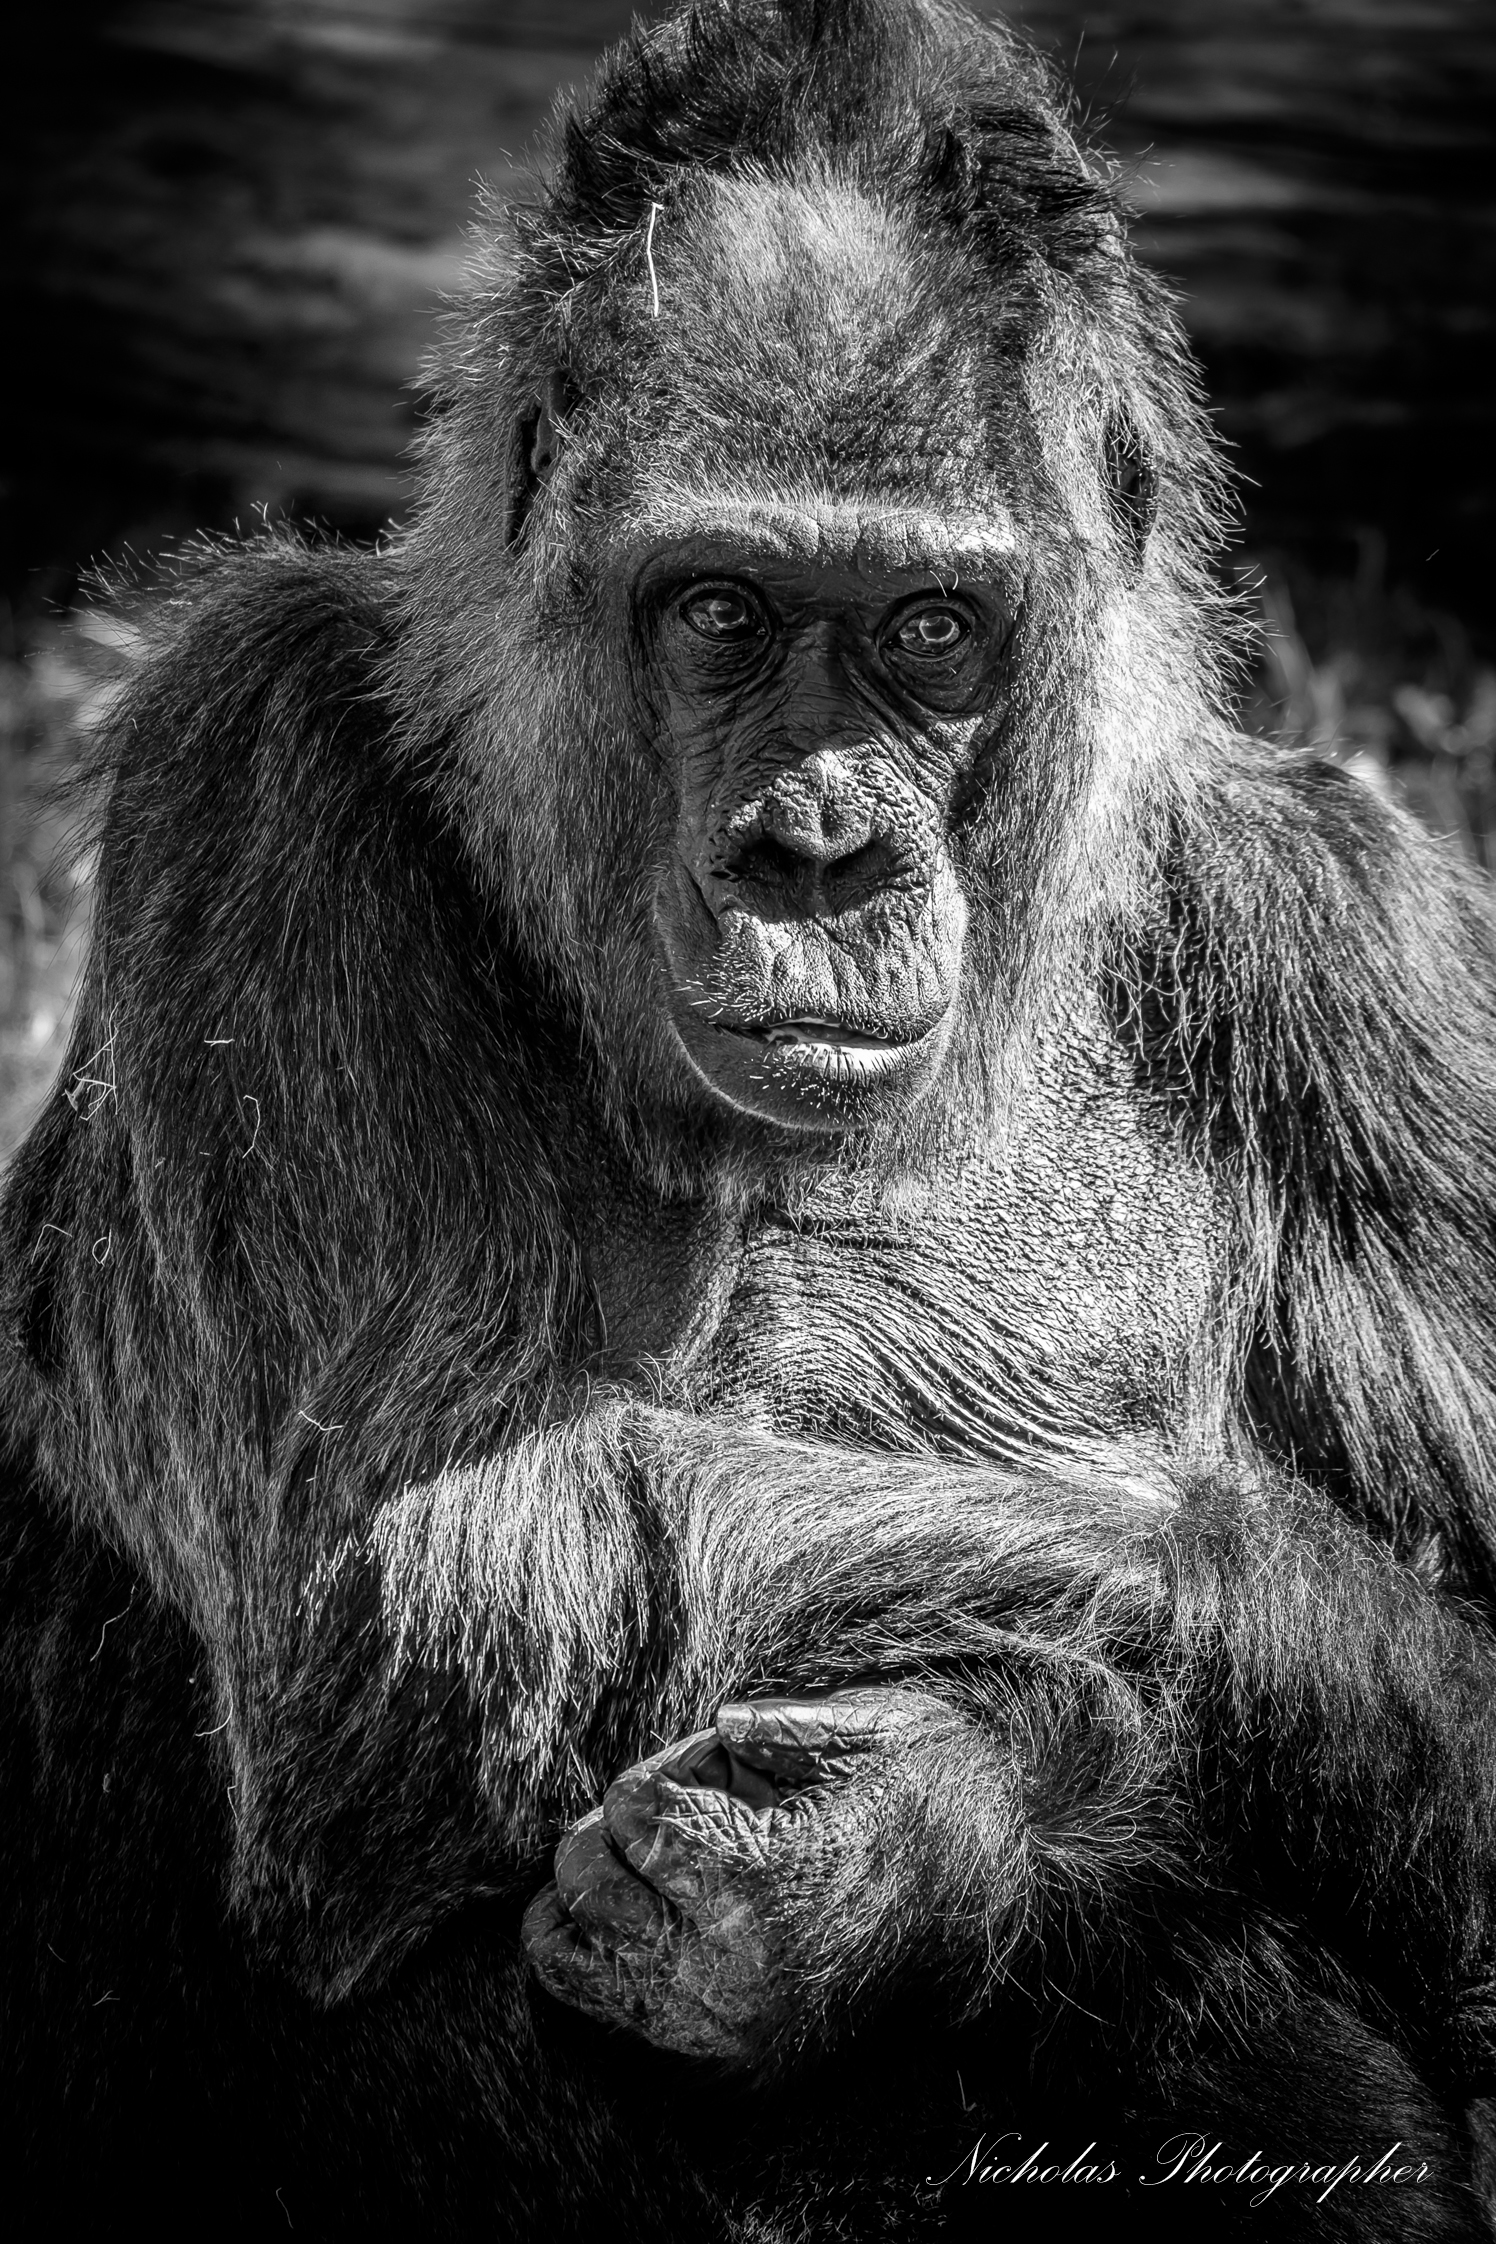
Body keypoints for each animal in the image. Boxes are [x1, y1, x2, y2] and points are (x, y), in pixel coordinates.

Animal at [3, 1, 1496, 2237]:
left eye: (929, 632)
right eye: (719, 610)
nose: (815, 848)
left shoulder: (1368, 957)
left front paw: (911, 1853)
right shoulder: (245, 759)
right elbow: (433, 1594)